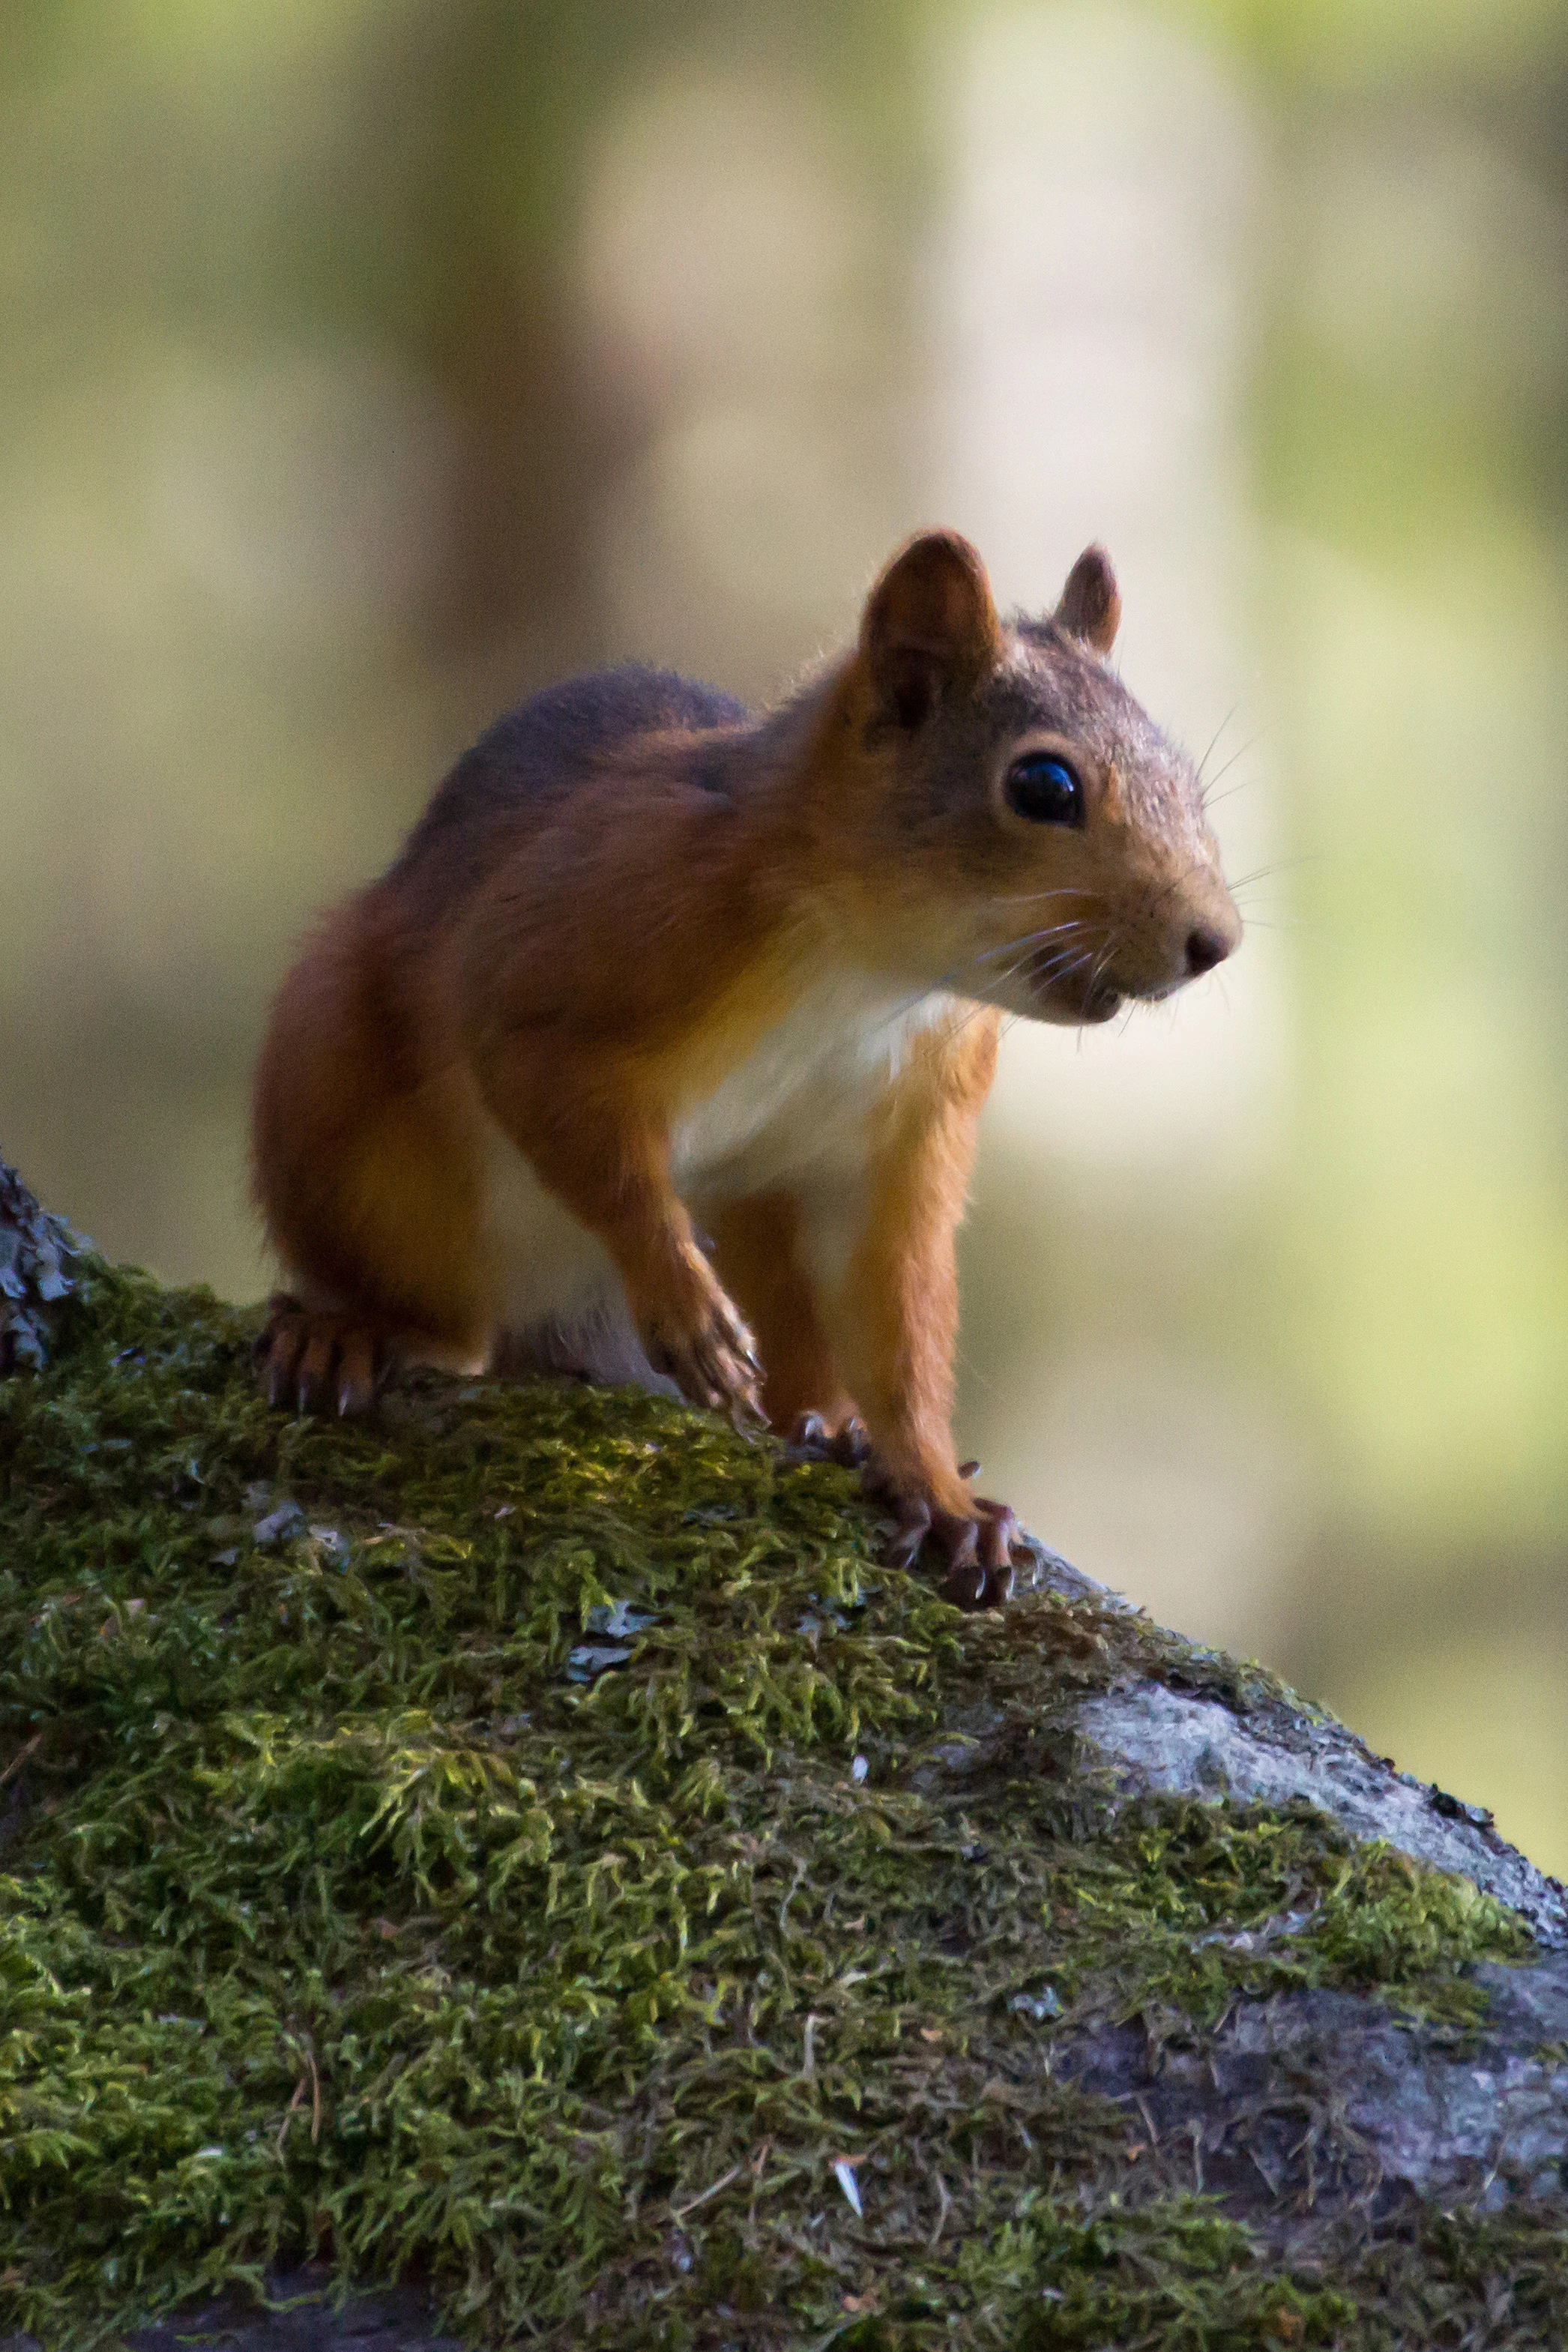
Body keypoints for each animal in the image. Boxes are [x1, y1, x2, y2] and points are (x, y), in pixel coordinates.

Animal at [251, 530, 1240, 1609]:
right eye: (1044, 787)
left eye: (1190, 787)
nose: (1215, 941)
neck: (872, 965)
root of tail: (550, 1322)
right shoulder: (591, 935)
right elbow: (547, 1085)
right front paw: (683, 1302)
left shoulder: (910, 1130)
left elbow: (896, 1306)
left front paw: (936, 1485)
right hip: (339, 1100)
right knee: (425, 1313)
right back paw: (347, 1328)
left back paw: (830, 1430)